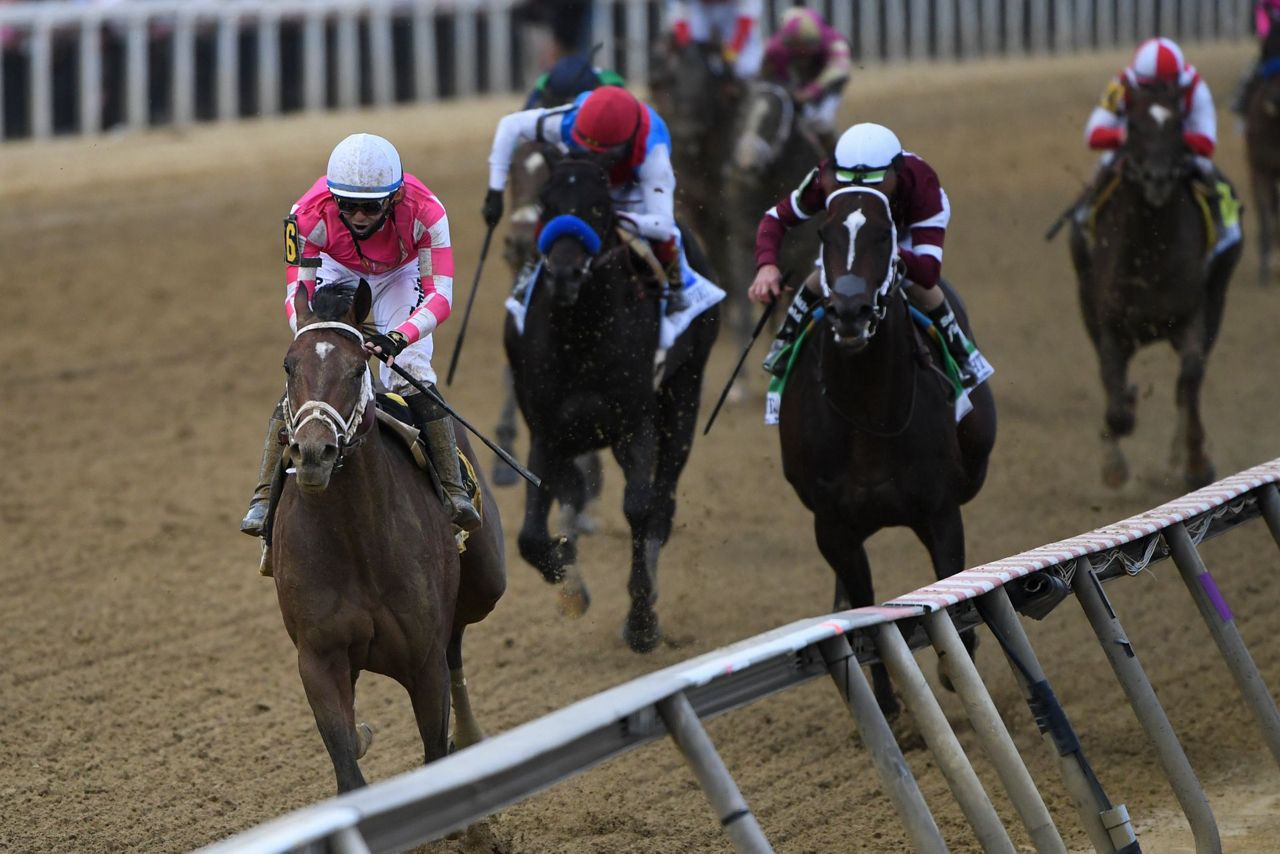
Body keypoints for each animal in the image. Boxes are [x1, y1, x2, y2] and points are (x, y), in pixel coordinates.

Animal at [273, 281, 504, 793]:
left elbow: (436, 752)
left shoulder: (424, 663)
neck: (355, 539)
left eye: (358, 366)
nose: (313, 452)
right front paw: (358, 741)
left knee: (457, 637)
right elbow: (348, 769)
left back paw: (471, 735)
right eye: (289, 365)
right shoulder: (318, 660)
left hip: (485, 582)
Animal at [1070, 85, 1239, 494]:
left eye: (1178, 123)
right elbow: (1115, 399)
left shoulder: (1193, 315)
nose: (1158, 179)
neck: (1149, 254)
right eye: (1132, 124)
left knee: (1188, 386)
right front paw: (1114, 461)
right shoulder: (1109, 324)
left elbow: (1189, 379)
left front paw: (1196, 461)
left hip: (1217, 299)